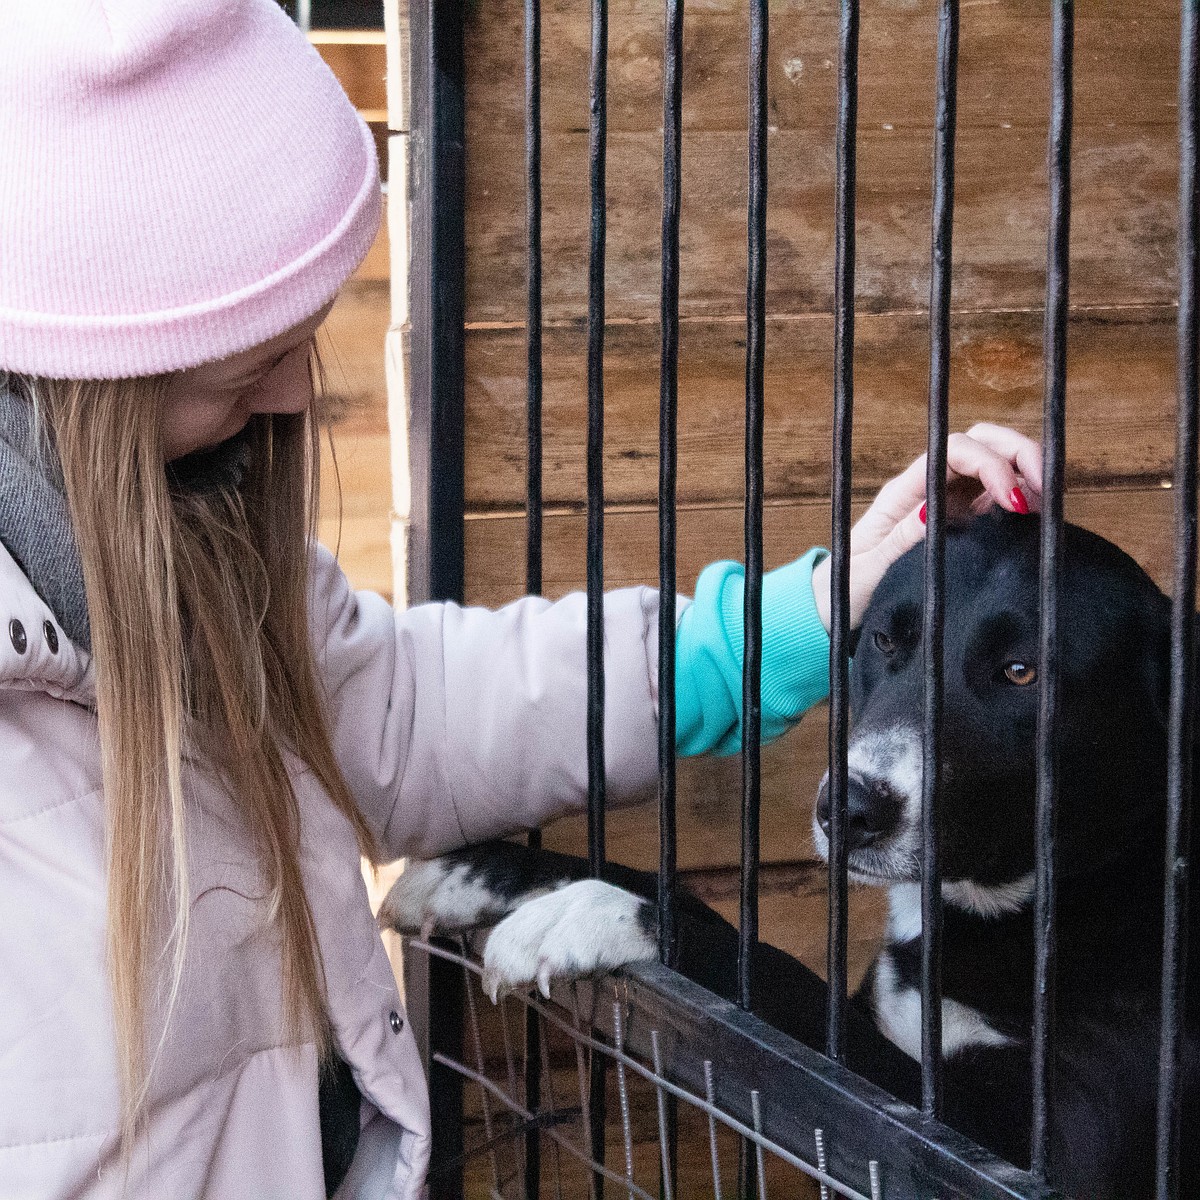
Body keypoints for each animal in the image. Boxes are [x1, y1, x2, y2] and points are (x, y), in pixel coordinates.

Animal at [384, 516, 1200, 1200]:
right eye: (886, 641)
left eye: (1022, 671)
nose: (849, 808)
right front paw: (488, 873)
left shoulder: (1025, 1156)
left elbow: (774, 990)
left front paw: (600, 915)